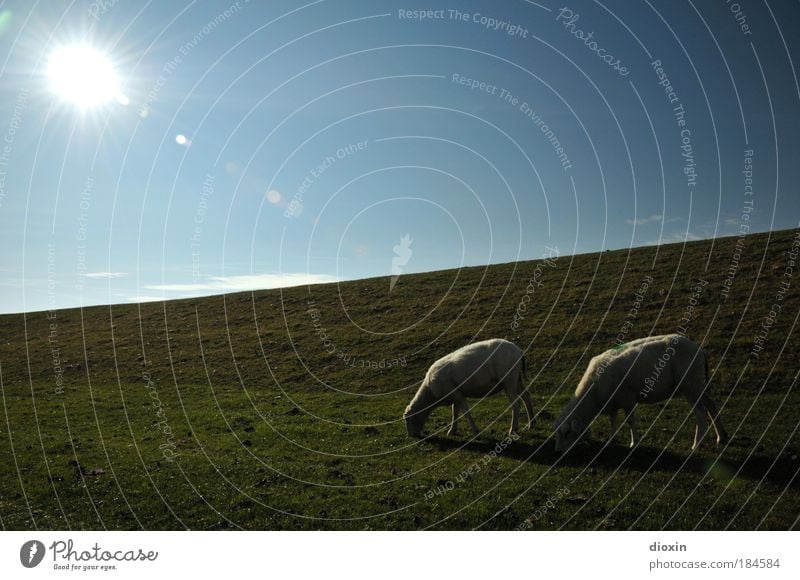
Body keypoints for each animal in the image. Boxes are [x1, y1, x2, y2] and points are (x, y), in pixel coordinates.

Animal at [404, 338, 536, 438]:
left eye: (407, 420)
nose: (412, 436)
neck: (430, 394)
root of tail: (519, 351)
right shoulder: (455, 395)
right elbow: (454, 413)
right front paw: (452, 431)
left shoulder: (457, 395)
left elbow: (466, 413)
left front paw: (475, 432)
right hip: (516, 379)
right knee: (526, 396)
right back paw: (531, 423)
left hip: (509, 380)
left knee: (516, 404)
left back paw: (513, 429)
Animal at [552, 336, 728, 454]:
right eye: (558, 434)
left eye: (567, 433)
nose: (557, 451)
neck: (594, 395)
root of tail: (699, 349)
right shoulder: (613, 402)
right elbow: (613, 420)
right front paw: (610, 441)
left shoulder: (628, 399)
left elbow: (630, 421)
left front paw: (634, 442)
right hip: (700, 384)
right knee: (712, 406)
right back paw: (721, 437)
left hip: (691, 385)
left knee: (701, 413)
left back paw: (696, 444)